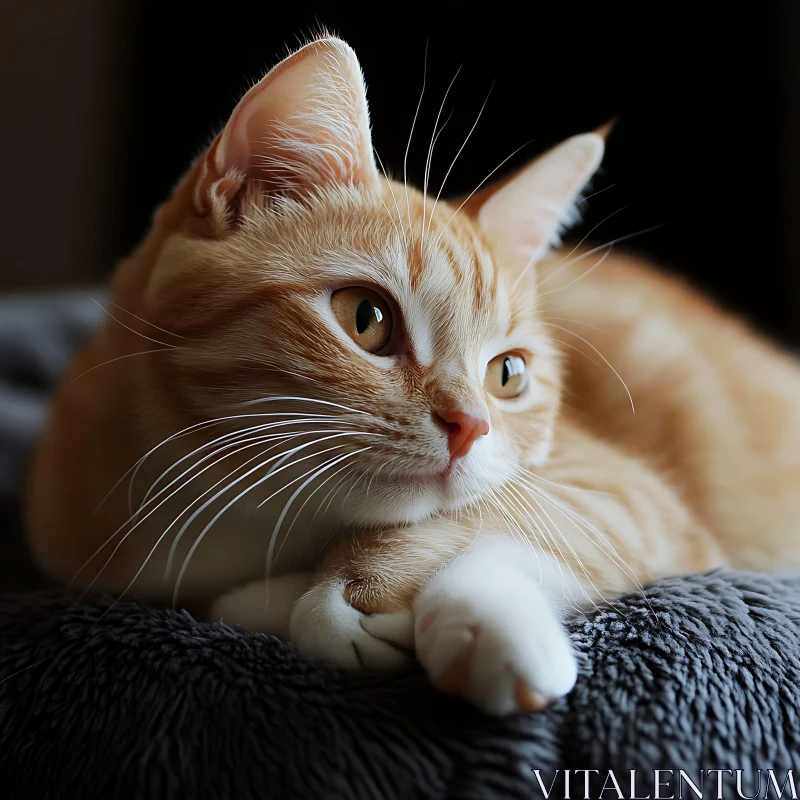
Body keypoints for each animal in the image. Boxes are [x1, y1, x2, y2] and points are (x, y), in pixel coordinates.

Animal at [25, 37, 800, 716]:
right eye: (366, 319)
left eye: (508, 374)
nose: (471, 426)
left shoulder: (625, 496)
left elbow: (506, 518)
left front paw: (461, 610)